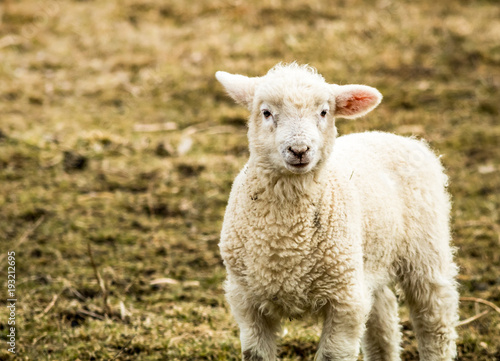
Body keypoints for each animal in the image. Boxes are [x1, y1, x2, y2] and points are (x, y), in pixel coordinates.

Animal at [217, 63, 458, 360]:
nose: (299, 150)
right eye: (266, 112)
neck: (286, 241)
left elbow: (333, 354)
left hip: (425, 251)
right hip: (367, 262)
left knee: (435, 318)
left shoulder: (344, 300)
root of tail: (399, 137)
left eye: (324, 112)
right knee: (382, 317)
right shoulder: (246, 300)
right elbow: (256, 354)